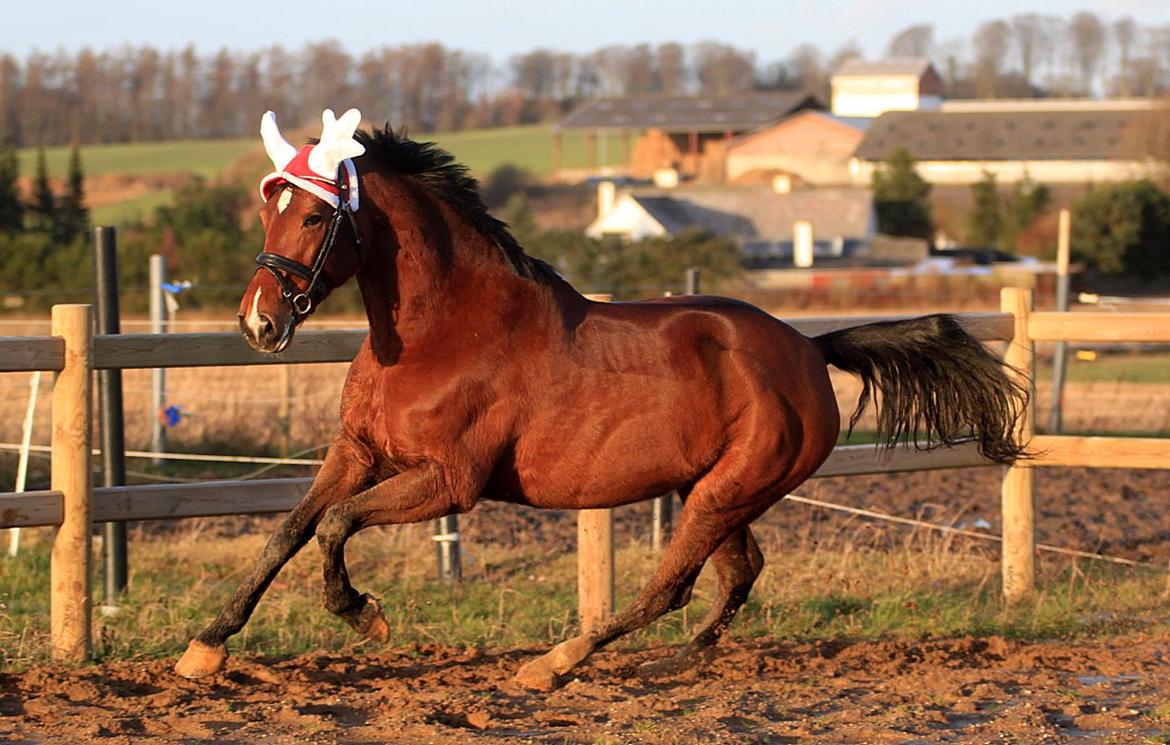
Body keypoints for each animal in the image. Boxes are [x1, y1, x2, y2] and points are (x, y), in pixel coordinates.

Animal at [170, 107, 1024, 687]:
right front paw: (205, 646)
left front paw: (364, 614)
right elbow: (288, 530)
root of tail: (809, 350)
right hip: (714, 489)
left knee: (671, 584)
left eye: (317, 213)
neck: (438, 330)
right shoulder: (357, 451)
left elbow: (335, 526)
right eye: (269, 206)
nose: (257, 322)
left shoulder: (449, 482)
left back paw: (556, 662)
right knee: (737, 572)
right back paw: (678, 661)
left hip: (725, 489)